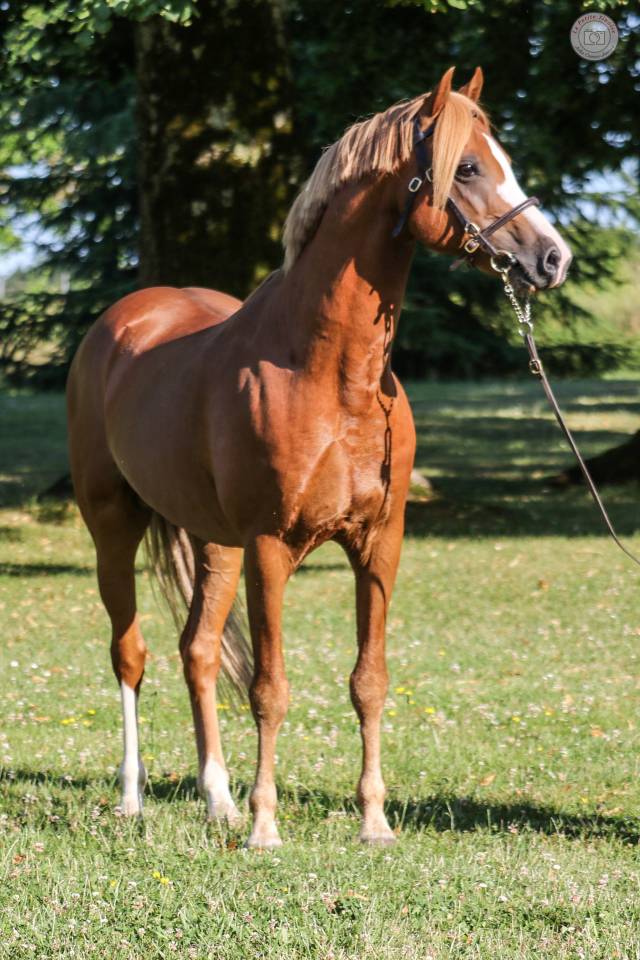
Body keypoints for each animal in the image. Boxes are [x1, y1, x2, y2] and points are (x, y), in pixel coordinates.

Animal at [66, 66, 572, 848]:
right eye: (465, 167)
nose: (551, 258)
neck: (331, 373)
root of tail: (122, 322)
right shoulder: (271, 546)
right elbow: (270, 688)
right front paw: (266, 827)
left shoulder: (379, 543)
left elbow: (369, 681)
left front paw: (374, 821)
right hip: (114, 527)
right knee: (131, 654)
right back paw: (132, 796)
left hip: (213, 544)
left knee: (198, 653)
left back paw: (217, 800)